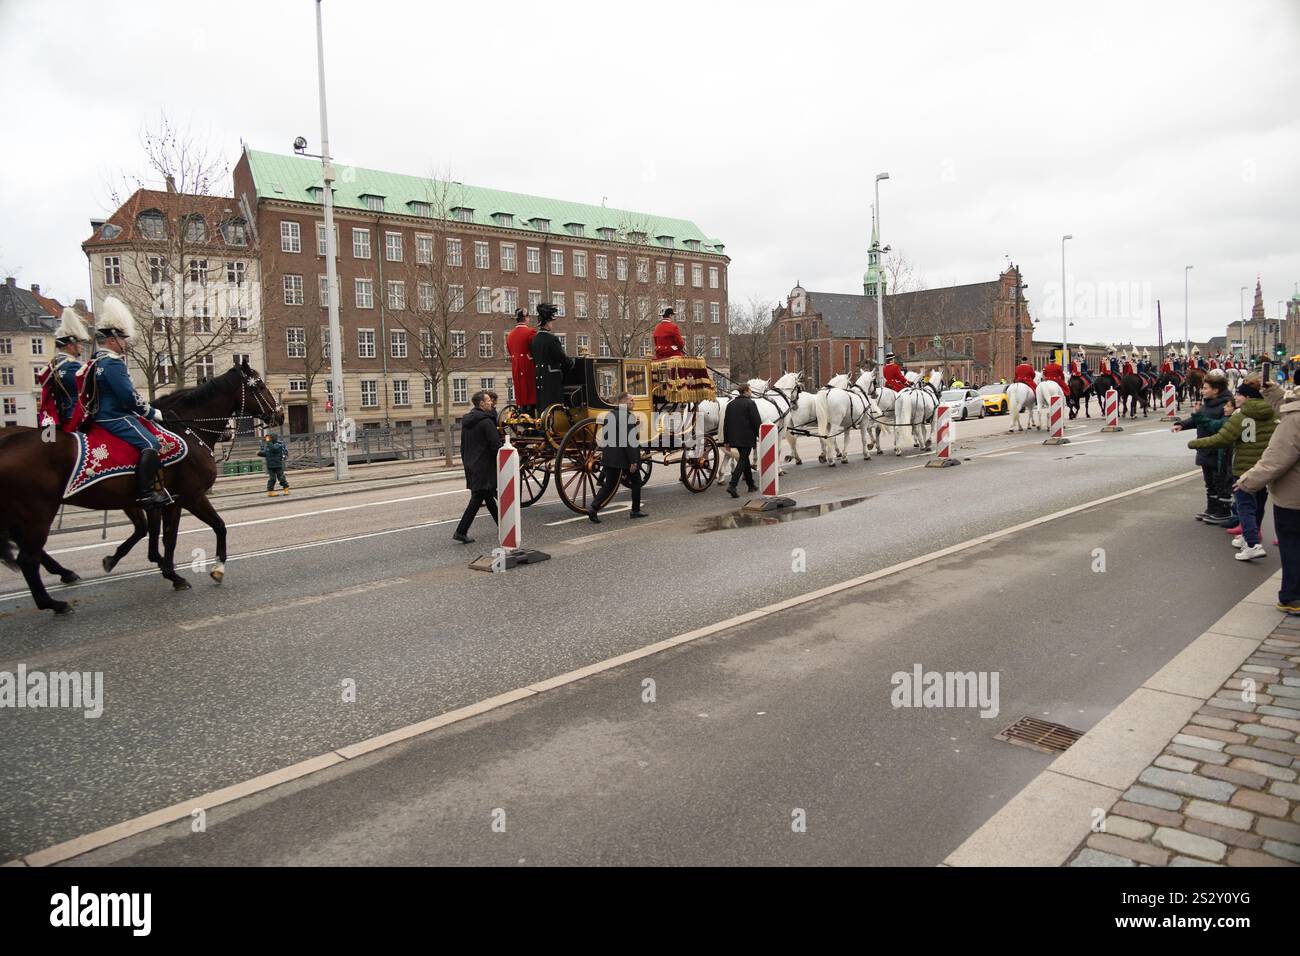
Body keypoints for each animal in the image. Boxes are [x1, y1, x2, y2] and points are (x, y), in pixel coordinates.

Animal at [1, 358, 280, 613]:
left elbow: (165, 536)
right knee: (27, 558)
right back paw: (53, 602)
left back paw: (62, 579)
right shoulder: (190, 496)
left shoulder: (166, 501)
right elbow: (217, 526)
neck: (187, 430)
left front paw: (168, 572)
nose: (278, 413)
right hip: (39, 513)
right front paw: (216, 568)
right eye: (260, 385)